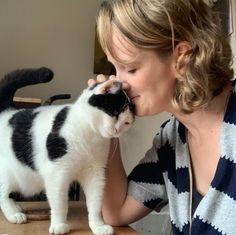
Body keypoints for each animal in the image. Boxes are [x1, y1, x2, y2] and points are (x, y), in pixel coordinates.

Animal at [0, 67, 135, 234]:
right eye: (114, 114)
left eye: (127, 123)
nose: (117, 130)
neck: (90, 136)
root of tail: (7, 112)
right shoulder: (57, 174)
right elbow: (60, 203)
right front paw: (58, 224)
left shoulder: (95, 173)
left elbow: (95, 203)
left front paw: (98, 225)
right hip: (7, 174)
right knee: (3, 194)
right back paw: (14, 214)